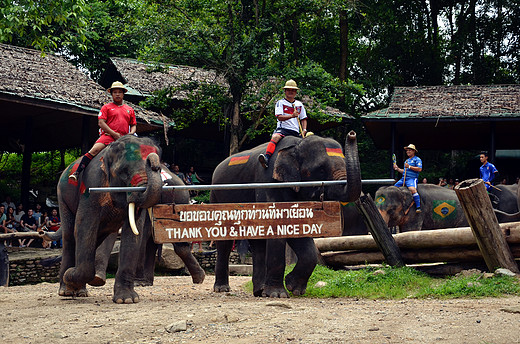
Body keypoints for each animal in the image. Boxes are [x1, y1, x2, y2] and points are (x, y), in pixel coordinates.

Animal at [209, 130, 360, 296]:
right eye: (321, 169)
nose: (352, 134)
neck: (296, 145)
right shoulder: (269, 183)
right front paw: (277, 294)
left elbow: (298, 229)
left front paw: (294, 288)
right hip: (217, 196)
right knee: (225, 240)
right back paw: (222, 289)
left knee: (257, 240)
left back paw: (259, 290)